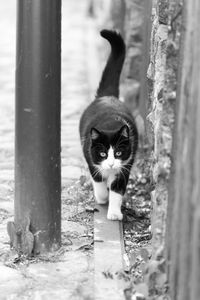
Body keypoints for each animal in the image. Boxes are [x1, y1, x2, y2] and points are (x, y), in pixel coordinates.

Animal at [79, 29, 138, 220]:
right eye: (103, 153)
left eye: (118, 152)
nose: (111, 164)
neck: (110, 124)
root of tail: (107, 96)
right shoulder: (90, 157)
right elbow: (98, 179)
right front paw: (103, 197)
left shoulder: (125, 165)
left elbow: (117, 189)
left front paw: (114, 213)